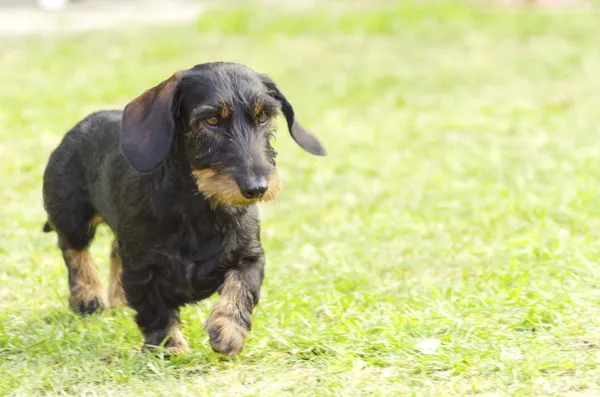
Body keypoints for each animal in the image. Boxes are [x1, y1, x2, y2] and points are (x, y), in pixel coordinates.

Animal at [41, 62, 326, 356]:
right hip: (73, 215)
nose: (257, 188)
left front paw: (228, 329)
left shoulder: (250, 256)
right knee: (73, 247)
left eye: (263, 117)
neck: (198, 209)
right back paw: (88, 295)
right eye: (211, 120)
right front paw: (169, 346)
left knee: (112, 250)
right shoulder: (141, 269)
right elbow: (155, 310)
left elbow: (242, 286)